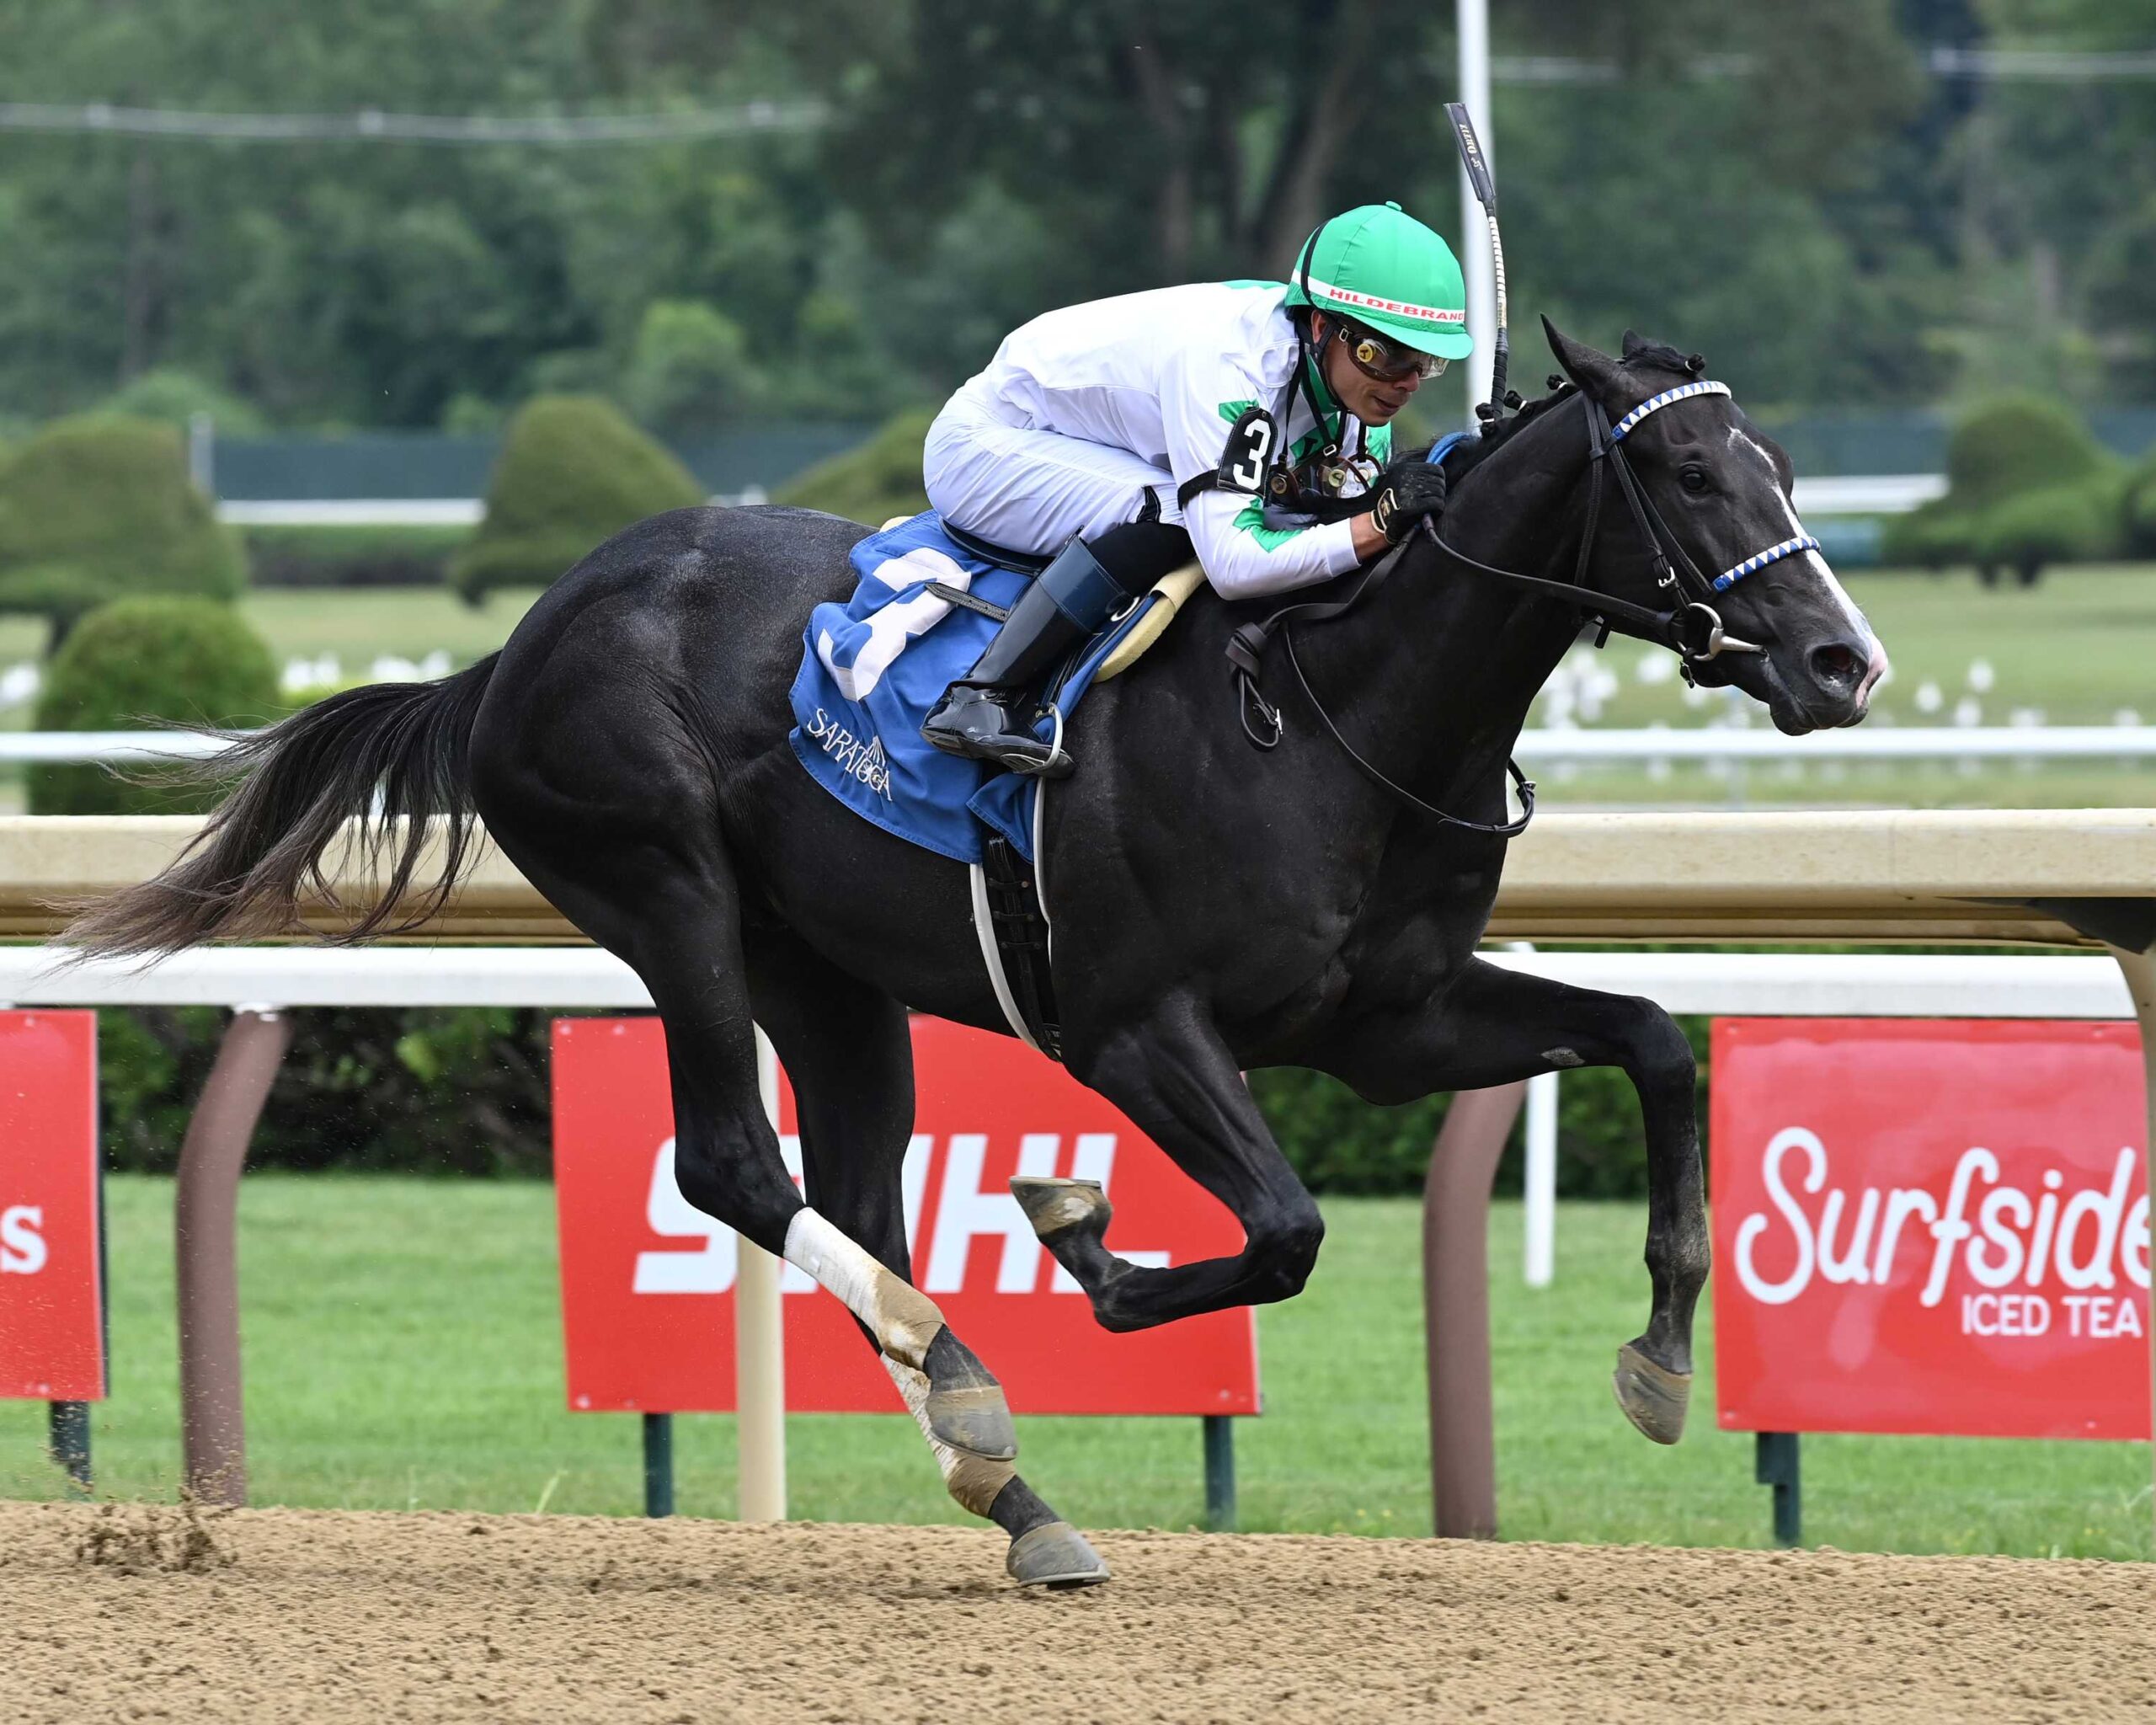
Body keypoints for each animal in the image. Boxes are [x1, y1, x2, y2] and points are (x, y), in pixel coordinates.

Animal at [67, 321, 1886, 1587]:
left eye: (1791, 464)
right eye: (1691, 478)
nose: (1840, 661)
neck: (1337, 708)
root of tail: (516, 641)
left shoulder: (1391, 1019)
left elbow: (1649, 1033)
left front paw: (1661, 1351)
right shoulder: (1137, 1025)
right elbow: (1284, 1229)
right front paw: (1090, 1241)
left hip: (828, 972)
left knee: (857, 1200)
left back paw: (1002, 1472)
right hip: (666, 887)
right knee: (733, 1162)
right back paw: (979, 1402)